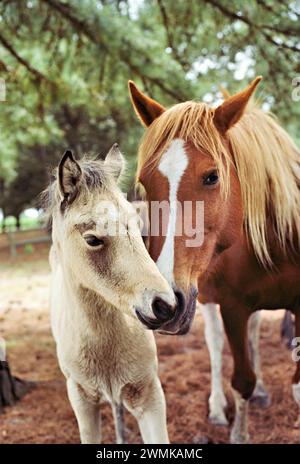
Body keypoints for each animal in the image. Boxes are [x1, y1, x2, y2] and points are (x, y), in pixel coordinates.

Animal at [128, 78, 300, 444]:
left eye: (212, 176)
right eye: (144, 183)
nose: (162, 305)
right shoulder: (232, 306)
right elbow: (241, 379)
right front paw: (238, 431)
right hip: (204, 299)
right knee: (215, 344)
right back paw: (219, 408)